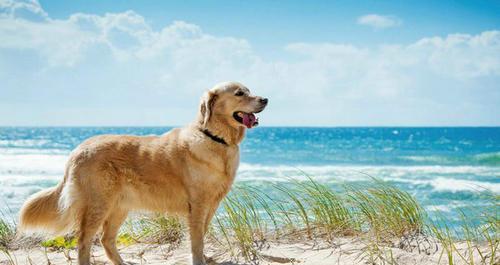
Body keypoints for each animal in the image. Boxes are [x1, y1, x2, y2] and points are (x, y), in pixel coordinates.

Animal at [19, 81, 268, 264]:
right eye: (239, 93)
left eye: (249, 91)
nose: (265, 99)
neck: (215, 137)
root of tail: (78, 149)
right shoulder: (197, 205)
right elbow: (196, 240)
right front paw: (199, 260)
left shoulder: (211, 204)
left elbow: (202, 235)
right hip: (99, 204)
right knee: (84, 241)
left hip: (119, 206)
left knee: (106, 240)